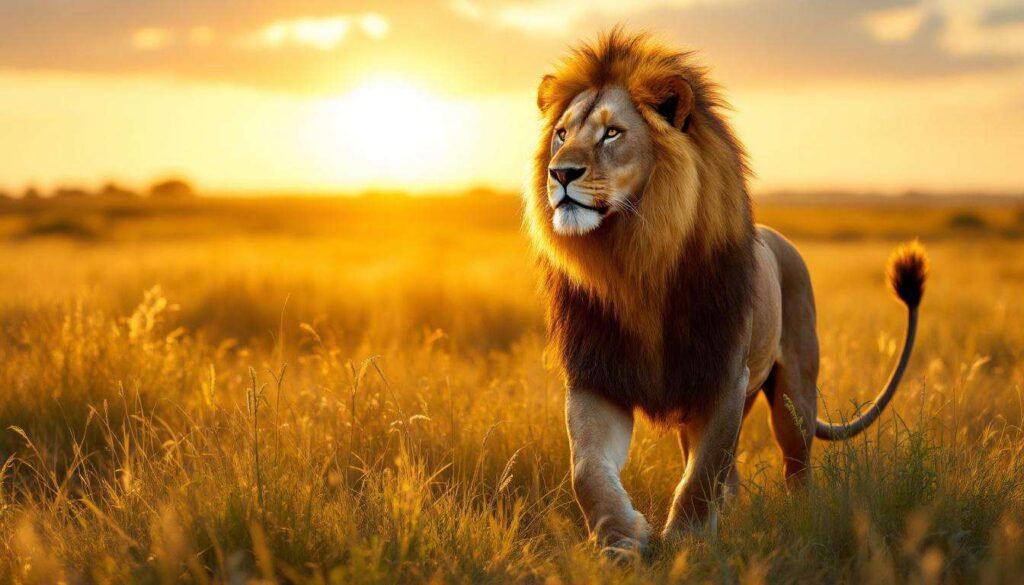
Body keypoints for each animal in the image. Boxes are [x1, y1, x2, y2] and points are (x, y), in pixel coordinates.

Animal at [525, 29, 929, 553]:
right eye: (561, 134)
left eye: (612, 133)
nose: (560, 174)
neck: (634, 260)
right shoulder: (598, 375)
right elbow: (588, 470)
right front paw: (621, 541)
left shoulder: (722, 376)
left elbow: (702, 475)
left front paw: (687, 544)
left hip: (795, 392)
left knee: (795, 463)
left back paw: (800, 516)